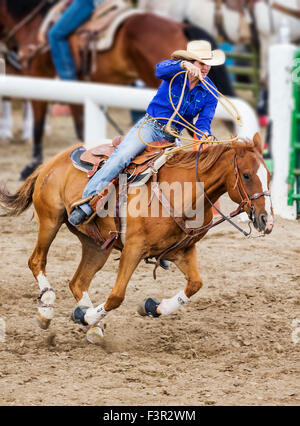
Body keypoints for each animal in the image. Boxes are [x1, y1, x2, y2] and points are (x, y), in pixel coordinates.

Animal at [0, 0, 234, 180]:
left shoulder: (38, 75)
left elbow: (39, 125)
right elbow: (78, 124)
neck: (34, 23)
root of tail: (180, 25)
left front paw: (31, 166)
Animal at [0, 135, 274, 344]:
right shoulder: (133, 248)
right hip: (50, 220)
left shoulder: (183, 251)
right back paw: (47, 310)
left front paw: (154, 307)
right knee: (37, 261)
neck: (182, 193)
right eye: (247, 175)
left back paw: (93, 328)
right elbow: (116, 296)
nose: (267, 220)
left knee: (78, 282)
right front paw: (84, 316)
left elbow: (195, 284)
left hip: (96, 246)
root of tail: (50, 162)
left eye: (269, 175)